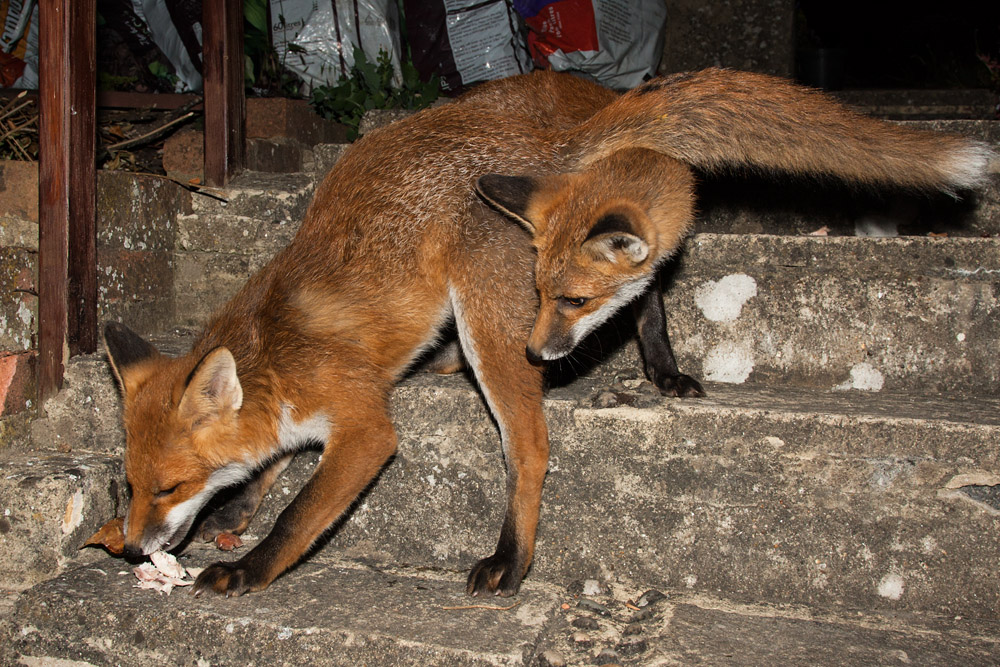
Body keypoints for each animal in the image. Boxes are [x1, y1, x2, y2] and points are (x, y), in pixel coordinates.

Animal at [103, 67, 993, 598]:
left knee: (532, 444)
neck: (274, 354)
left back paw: (515, 557)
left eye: (169, 486)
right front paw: (239, 506)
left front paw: (246, 568)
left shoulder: (362, 426)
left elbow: (300, 515)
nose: (131, 547)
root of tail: (547, 141)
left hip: (494, 324)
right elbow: (267, 472)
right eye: (129, 485)